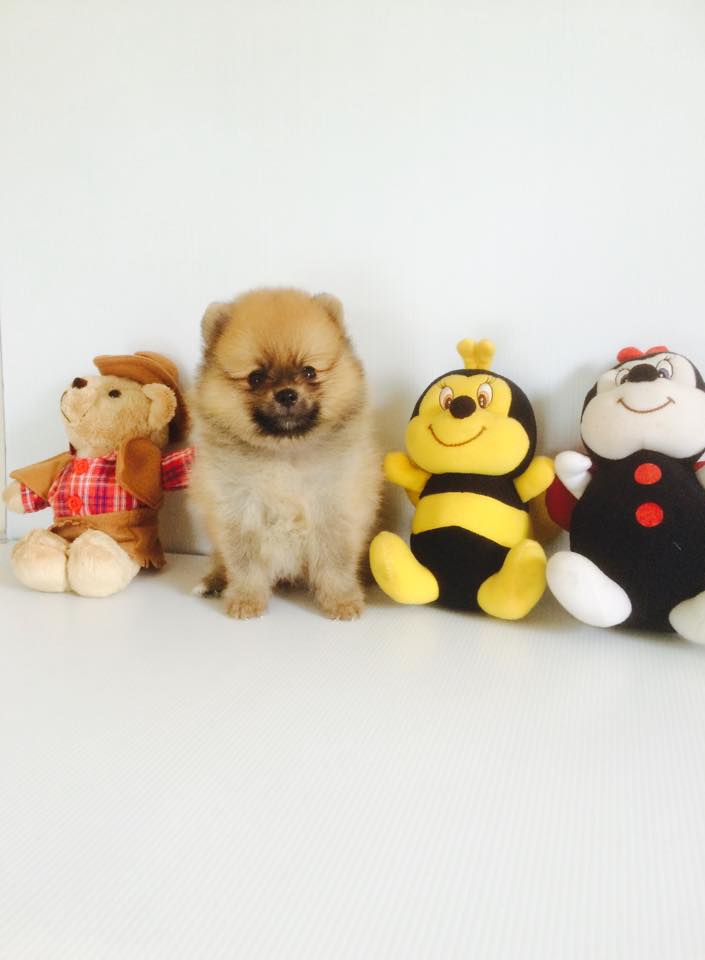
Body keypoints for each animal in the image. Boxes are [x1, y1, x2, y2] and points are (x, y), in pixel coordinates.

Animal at [189, 288, 381, 619]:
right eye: (256, 377)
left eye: (309, 371)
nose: (287, 394)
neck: (283, 454)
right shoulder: (239, 508)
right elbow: (244, 564)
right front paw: (246, 599)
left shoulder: (332, 505)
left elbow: (335, 562)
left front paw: (342, 601)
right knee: (221, 560)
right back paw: (213, 580)